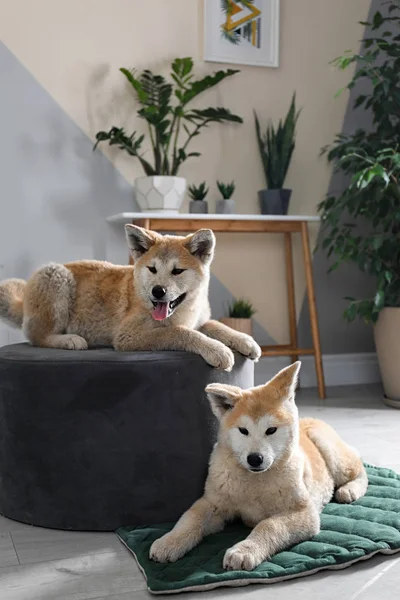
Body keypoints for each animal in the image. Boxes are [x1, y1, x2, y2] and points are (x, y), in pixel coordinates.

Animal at [0, 224, 260, 368]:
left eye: (177, 271)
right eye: (152, 269)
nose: (158, 291)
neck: (183, 310)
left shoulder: (199, 320)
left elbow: (215, 325)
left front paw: (244, 340)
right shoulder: (128, 336)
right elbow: (179, 332)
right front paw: (217, 350)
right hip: (56, 276)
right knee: (37, 336)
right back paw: (69, 340)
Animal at [150, 360, 368, 572]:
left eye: (271, 430)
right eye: (243, 430)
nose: (255, 459)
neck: (254, 483)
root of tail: (310, 420)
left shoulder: (304, 513)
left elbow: (268, 525)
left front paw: (244, 551)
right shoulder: (213, 502)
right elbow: (190, 518)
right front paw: (168, 542)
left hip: (329, 449)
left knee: (360, 468)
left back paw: (349, 490)